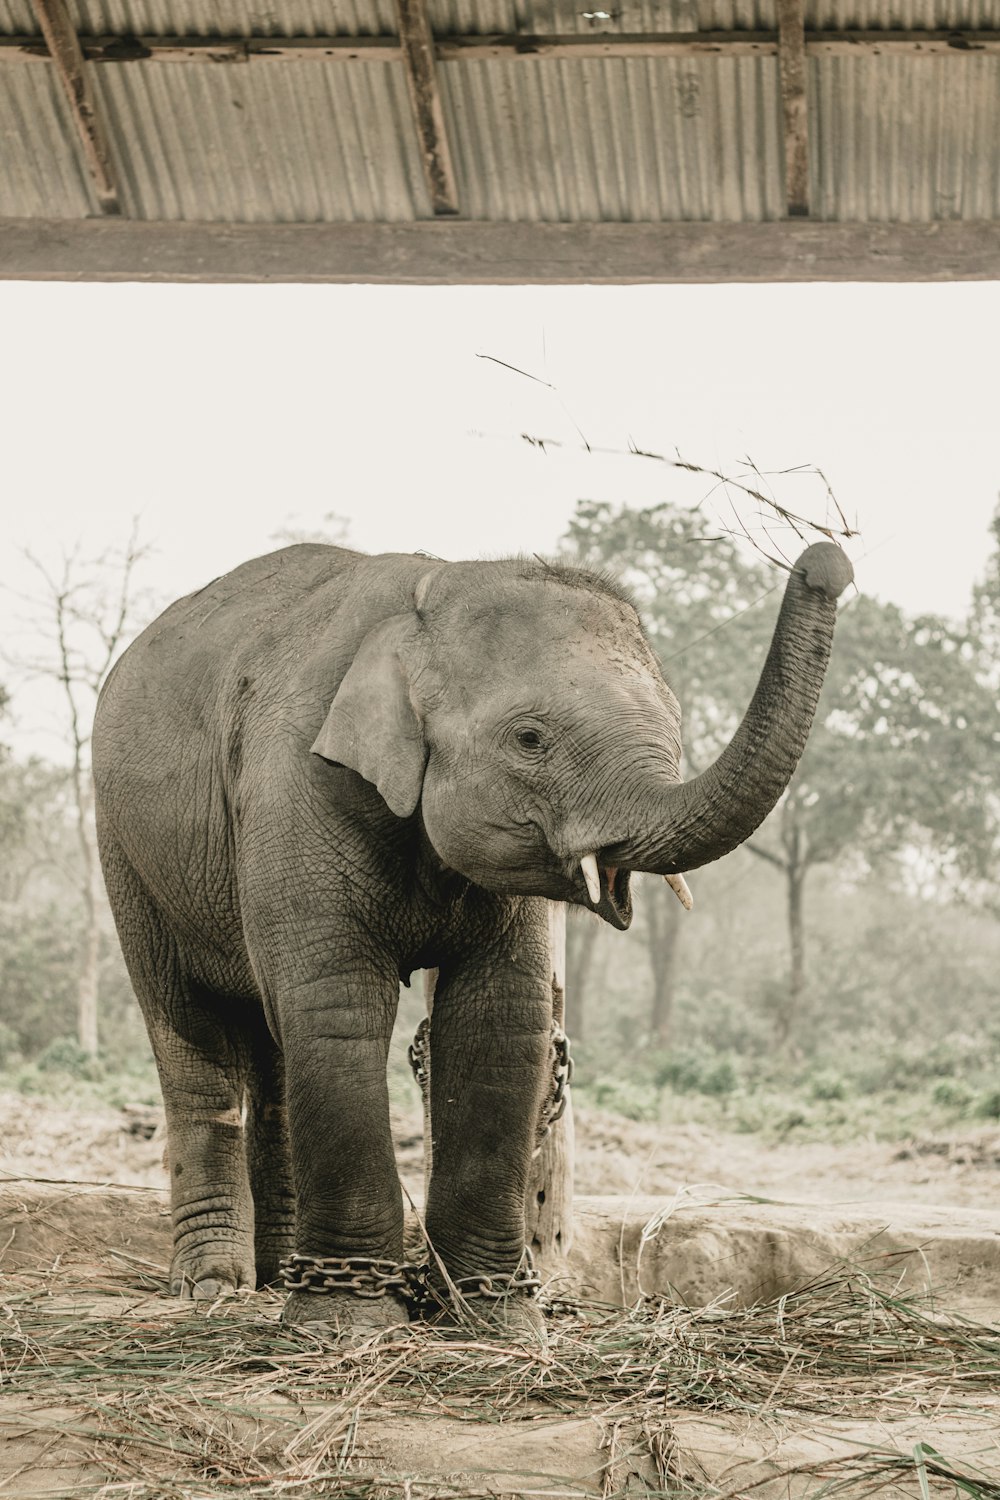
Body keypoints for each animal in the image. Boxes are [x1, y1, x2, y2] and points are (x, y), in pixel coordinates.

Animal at [91, 537, 851, 1338]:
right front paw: (348, 1323)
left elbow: (501, 1018)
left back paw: (274, 1280)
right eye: (530, 739)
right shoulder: (293, 785)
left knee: (271, 1053)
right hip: (126, 852)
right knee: (192, 1032)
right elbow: (337, 1007)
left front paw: (494, 1321)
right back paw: (214, 1288)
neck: (432, 589)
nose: (826, 562)